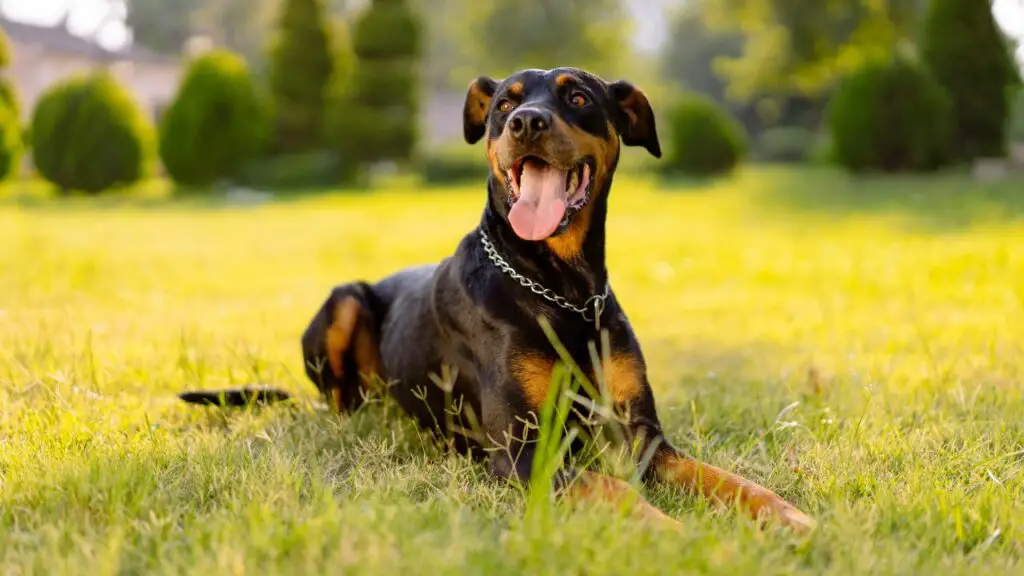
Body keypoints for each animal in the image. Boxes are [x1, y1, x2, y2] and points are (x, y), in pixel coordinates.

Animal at [180, 68, 811, 532]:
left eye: (578, 97)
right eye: (505, 105)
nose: (528, 121)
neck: (562, 291)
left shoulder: (643, 437)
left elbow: (729, 479)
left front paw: (789, 518)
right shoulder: (523, 453)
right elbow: (612, 489)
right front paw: (675, 534)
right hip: (346, 300)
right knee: (342, 404)